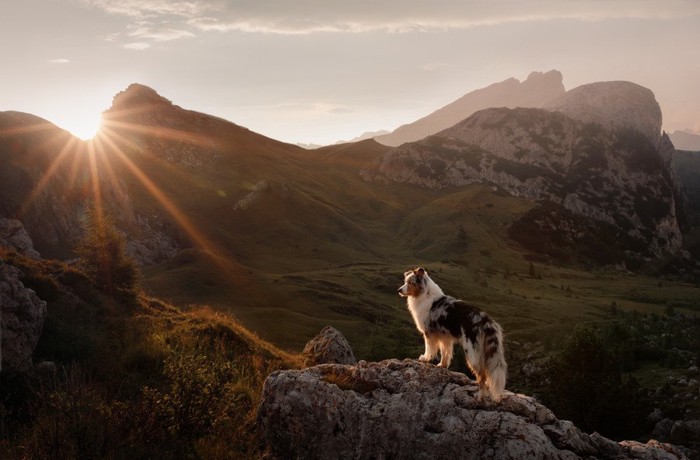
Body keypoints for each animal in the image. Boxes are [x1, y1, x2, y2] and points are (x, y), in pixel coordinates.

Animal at [400, 268, 508, 400]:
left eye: (411, 283)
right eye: (405, 281)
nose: (399, 290)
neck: (425, 294)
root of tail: (486, 321)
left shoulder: (429, 334)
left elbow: (429, 349)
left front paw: (424, 358)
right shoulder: (444, 337)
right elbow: (445, 353)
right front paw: (442, 365)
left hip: (471, 352)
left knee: (482, 374)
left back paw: (479, 395)